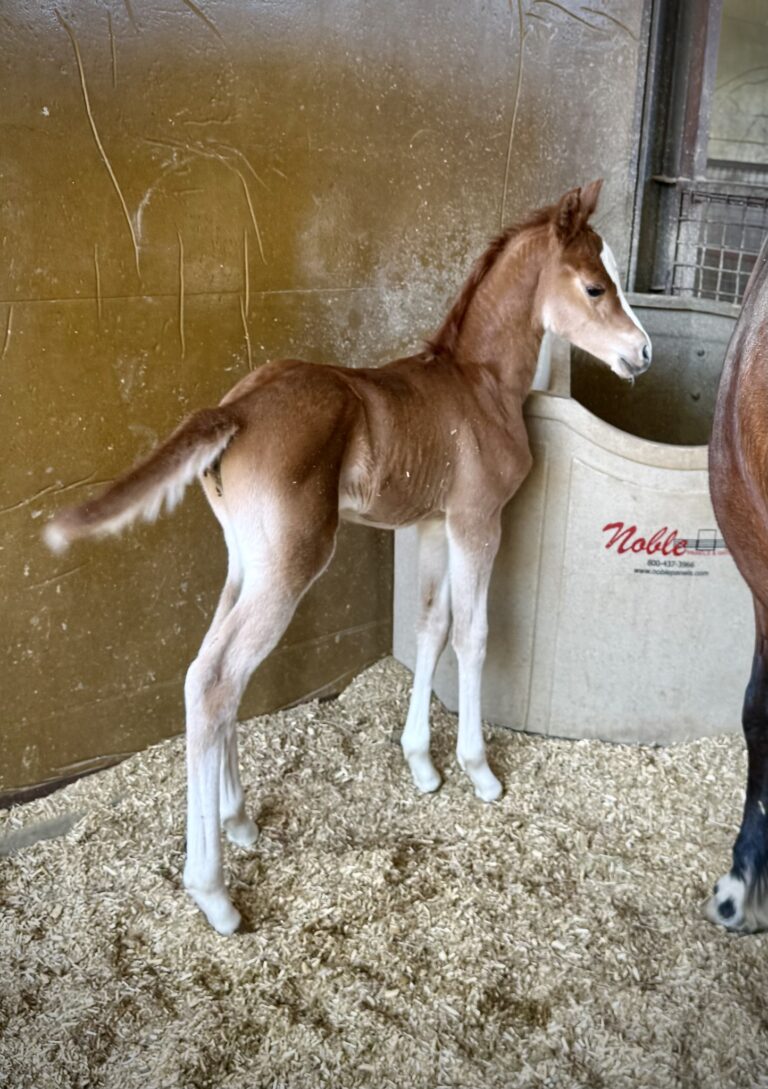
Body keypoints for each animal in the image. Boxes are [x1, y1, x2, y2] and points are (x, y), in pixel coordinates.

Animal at [43, 180, 651, 933]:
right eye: (596, 286)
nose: (643, 353)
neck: (480, 385)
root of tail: (234, 412)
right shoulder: (478, 521)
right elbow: (474, 634)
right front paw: (479, 770)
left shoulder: (430, 526)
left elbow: (431, 627)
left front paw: (422, 765)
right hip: (290, 566)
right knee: (216, 680)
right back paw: (214, 893)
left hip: (245, 563)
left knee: (209, 672)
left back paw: (238, 819)